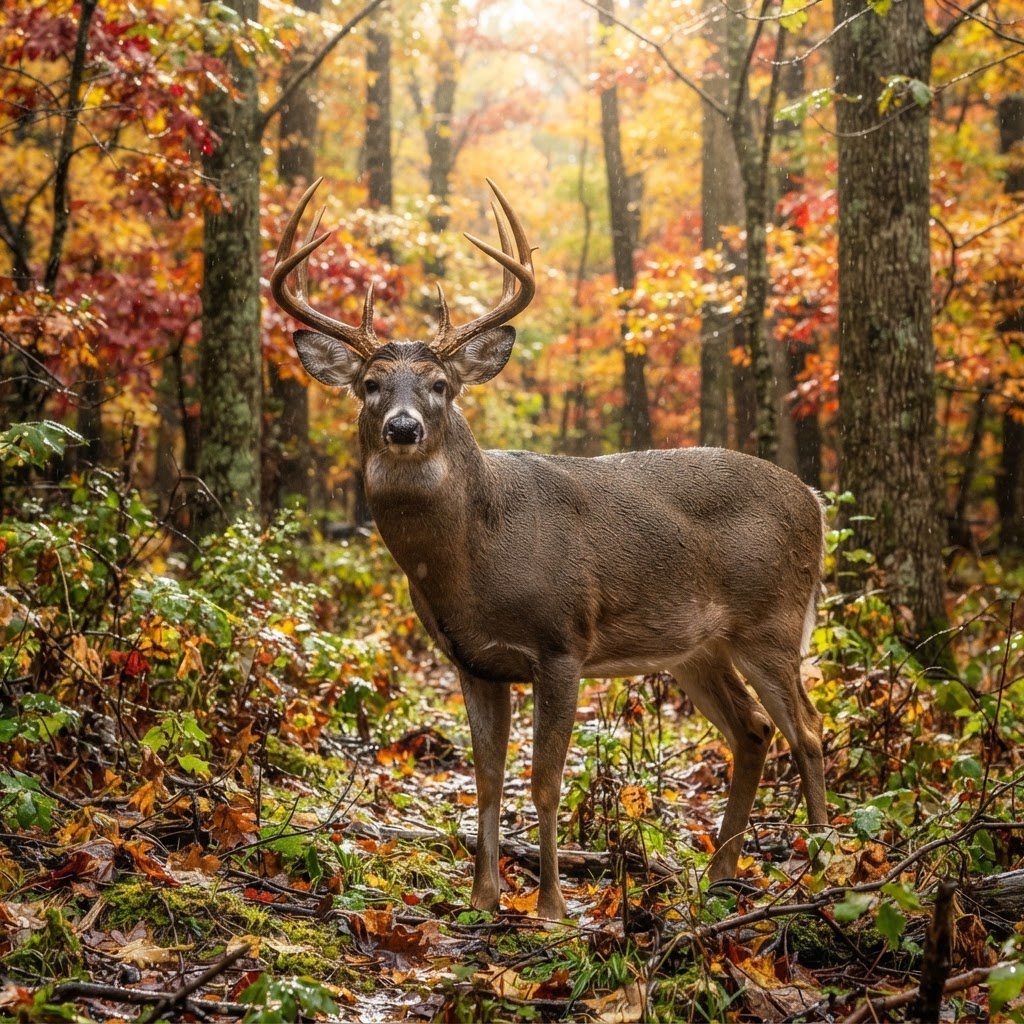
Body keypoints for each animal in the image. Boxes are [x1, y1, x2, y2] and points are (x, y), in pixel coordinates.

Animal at [270, 178, 829, 921]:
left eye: (441, 386)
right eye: (369, 385)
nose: (403, 427)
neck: (474, 558)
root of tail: (814, 500)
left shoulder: (563, 640)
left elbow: (543, 779)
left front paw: (551, 907)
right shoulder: (473, 660)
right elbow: (486, 778)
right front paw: (482, 899)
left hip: (771, 620)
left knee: (809, 731)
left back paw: (826, 868)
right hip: (697, 648)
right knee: (754, 731)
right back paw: (719, 877)